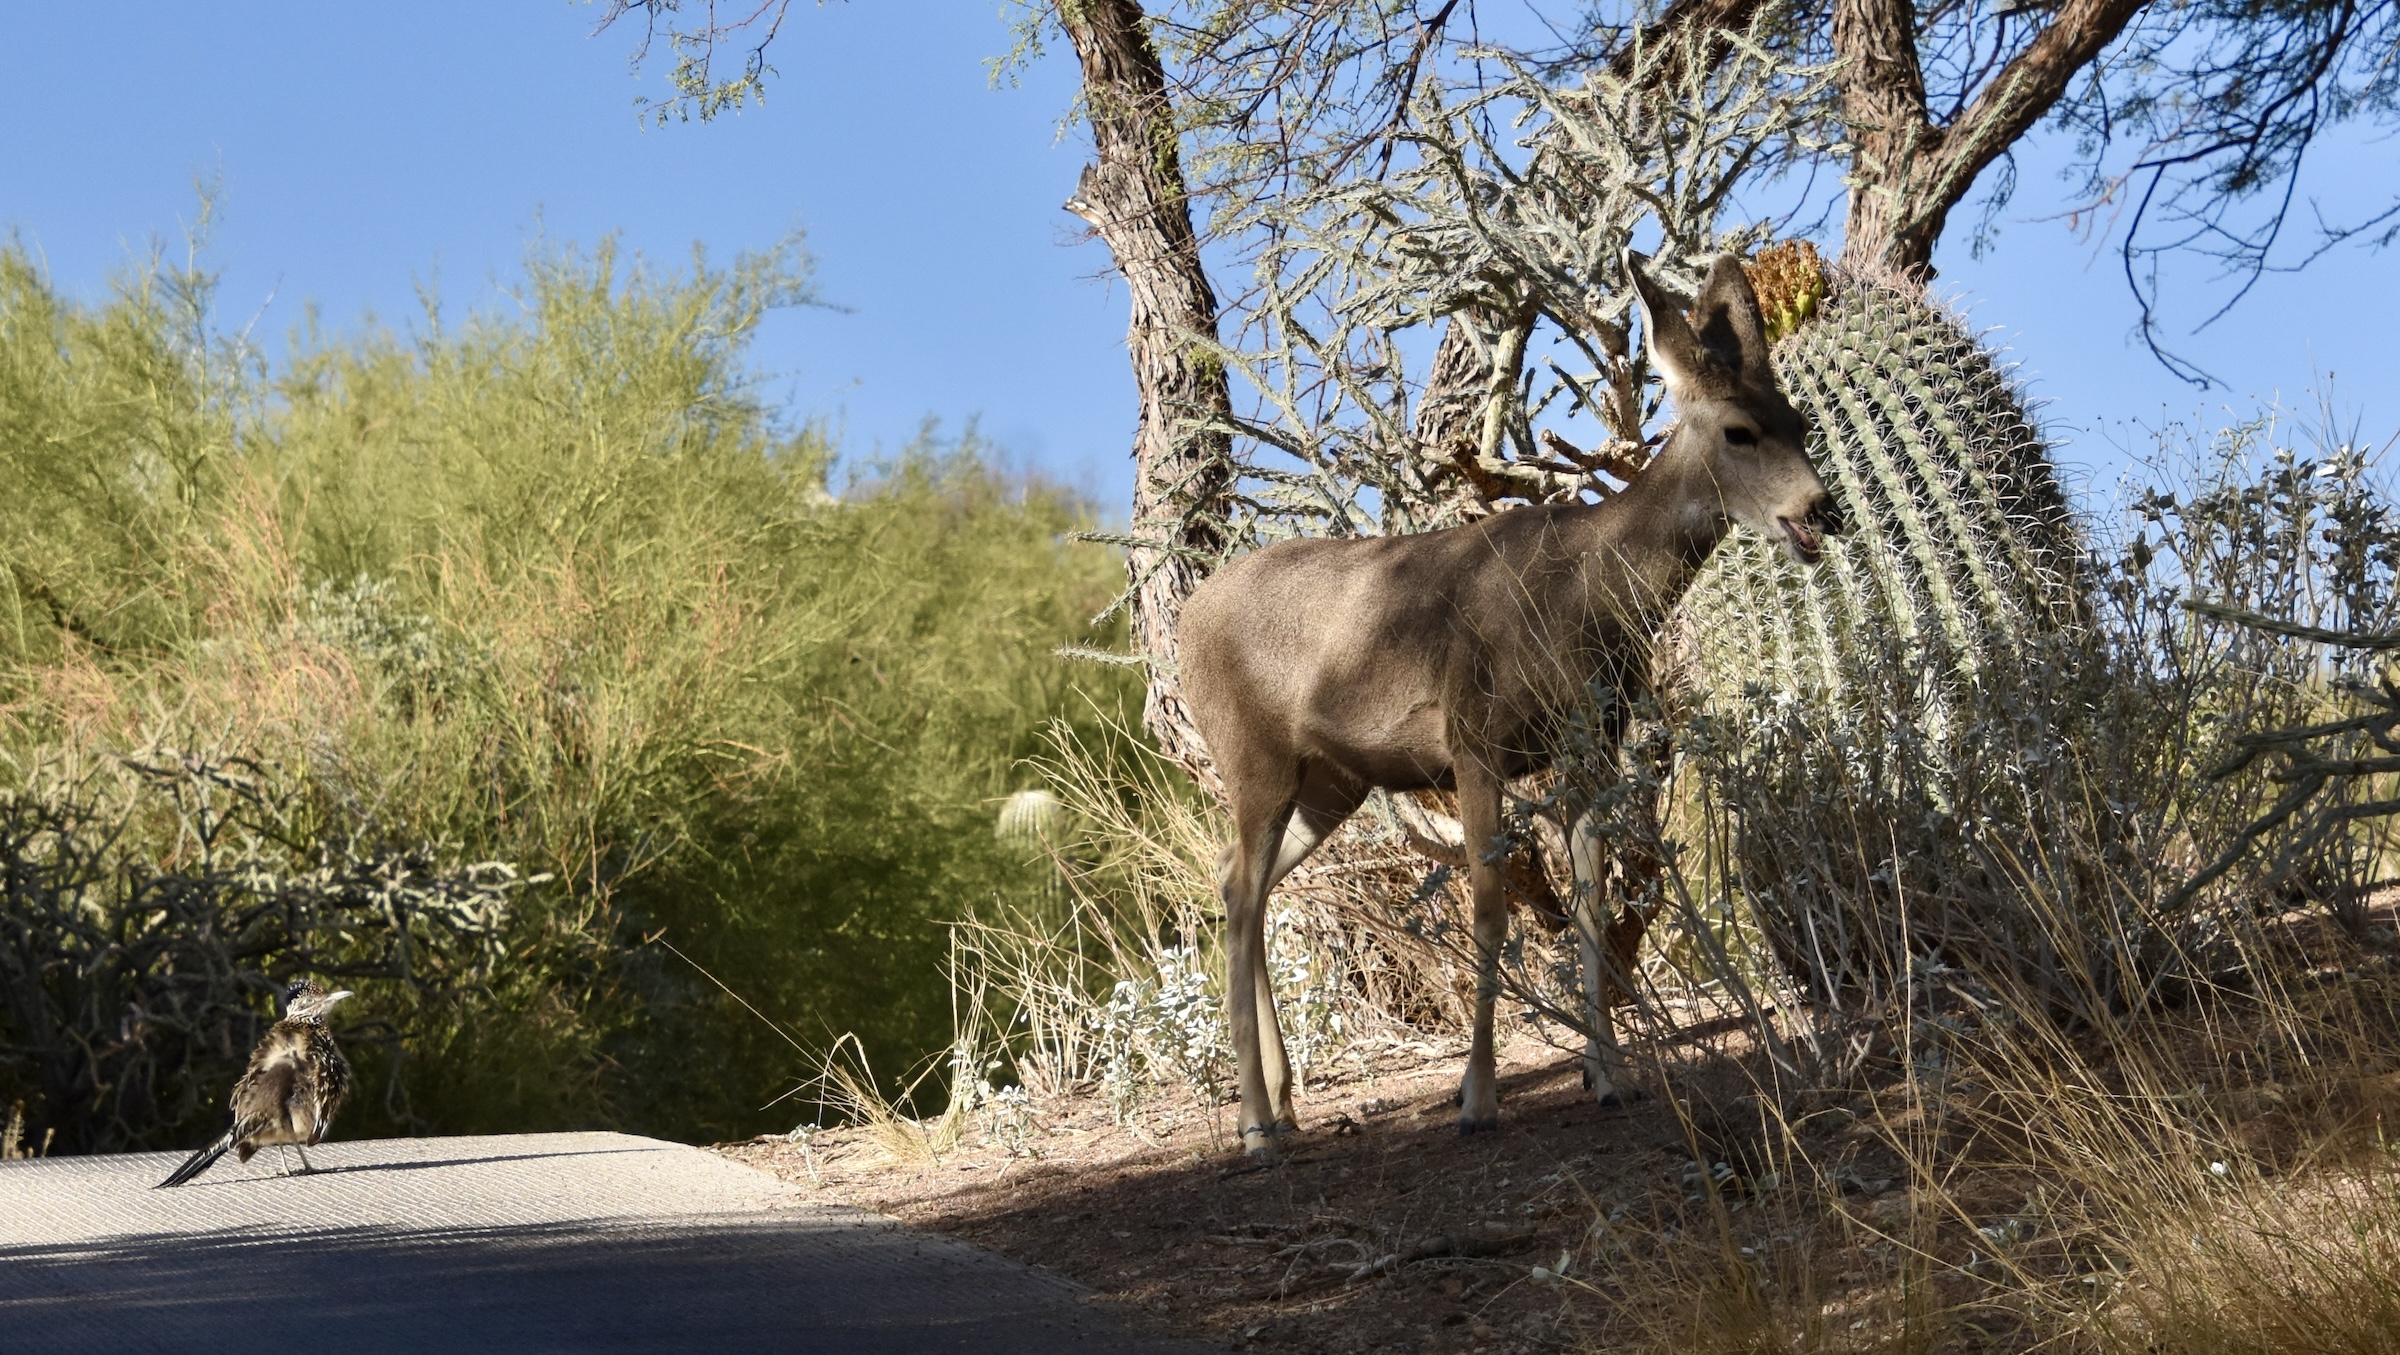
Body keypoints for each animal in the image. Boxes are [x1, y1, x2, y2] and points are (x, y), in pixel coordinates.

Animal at [1180, 248, 1833, 1146]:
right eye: (1740, 429)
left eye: (1798, 420)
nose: (1822, 508)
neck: (1585, 588)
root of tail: (1183, 624)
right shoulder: (1475, 738)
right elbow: (1491, 912)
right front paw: (1477, 1097)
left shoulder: (1590, 745)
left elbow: (1593, 904)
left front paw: (1610, 1075)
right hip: (1256, 756)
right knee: (1243, 890)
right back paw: (1253, 1120)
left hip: (1332, 780)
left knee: (1234, 877)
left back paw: (1284, 1102)